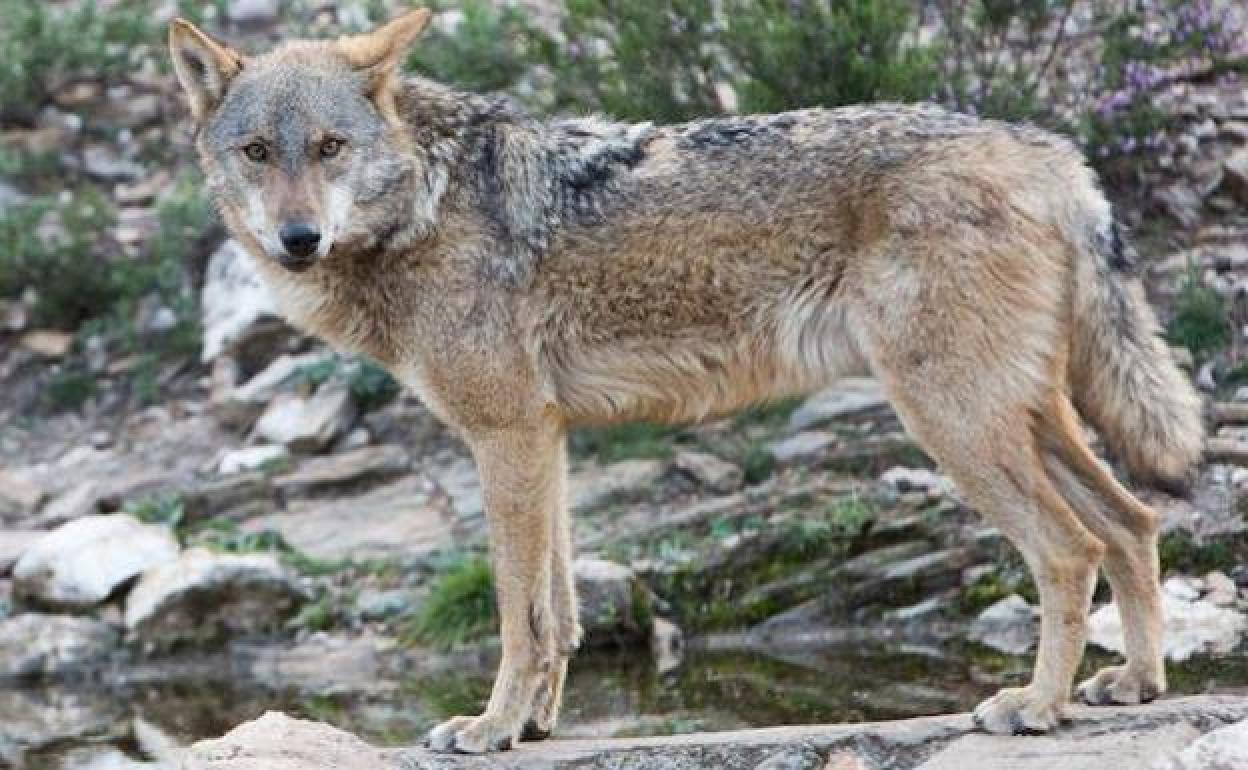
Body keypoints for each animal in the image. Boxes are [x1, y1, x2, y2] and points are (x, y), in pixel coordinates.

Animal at [169, 7, 1203, 753]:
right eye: (258, 152)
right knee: (1133, 521)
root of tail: (1047, 150)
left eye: (330, 148)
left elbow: (517, 612)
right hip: (1020, 415)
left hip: (955, 423)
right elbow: (560, 612)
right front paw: (533, 726)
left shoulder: (507, 436)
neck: (425, 201)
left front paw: (491, 726)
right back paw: (1134, 684)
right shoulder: (544, 440)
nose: (298, 238)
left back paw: (1035, 706)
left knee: (1070, 547)